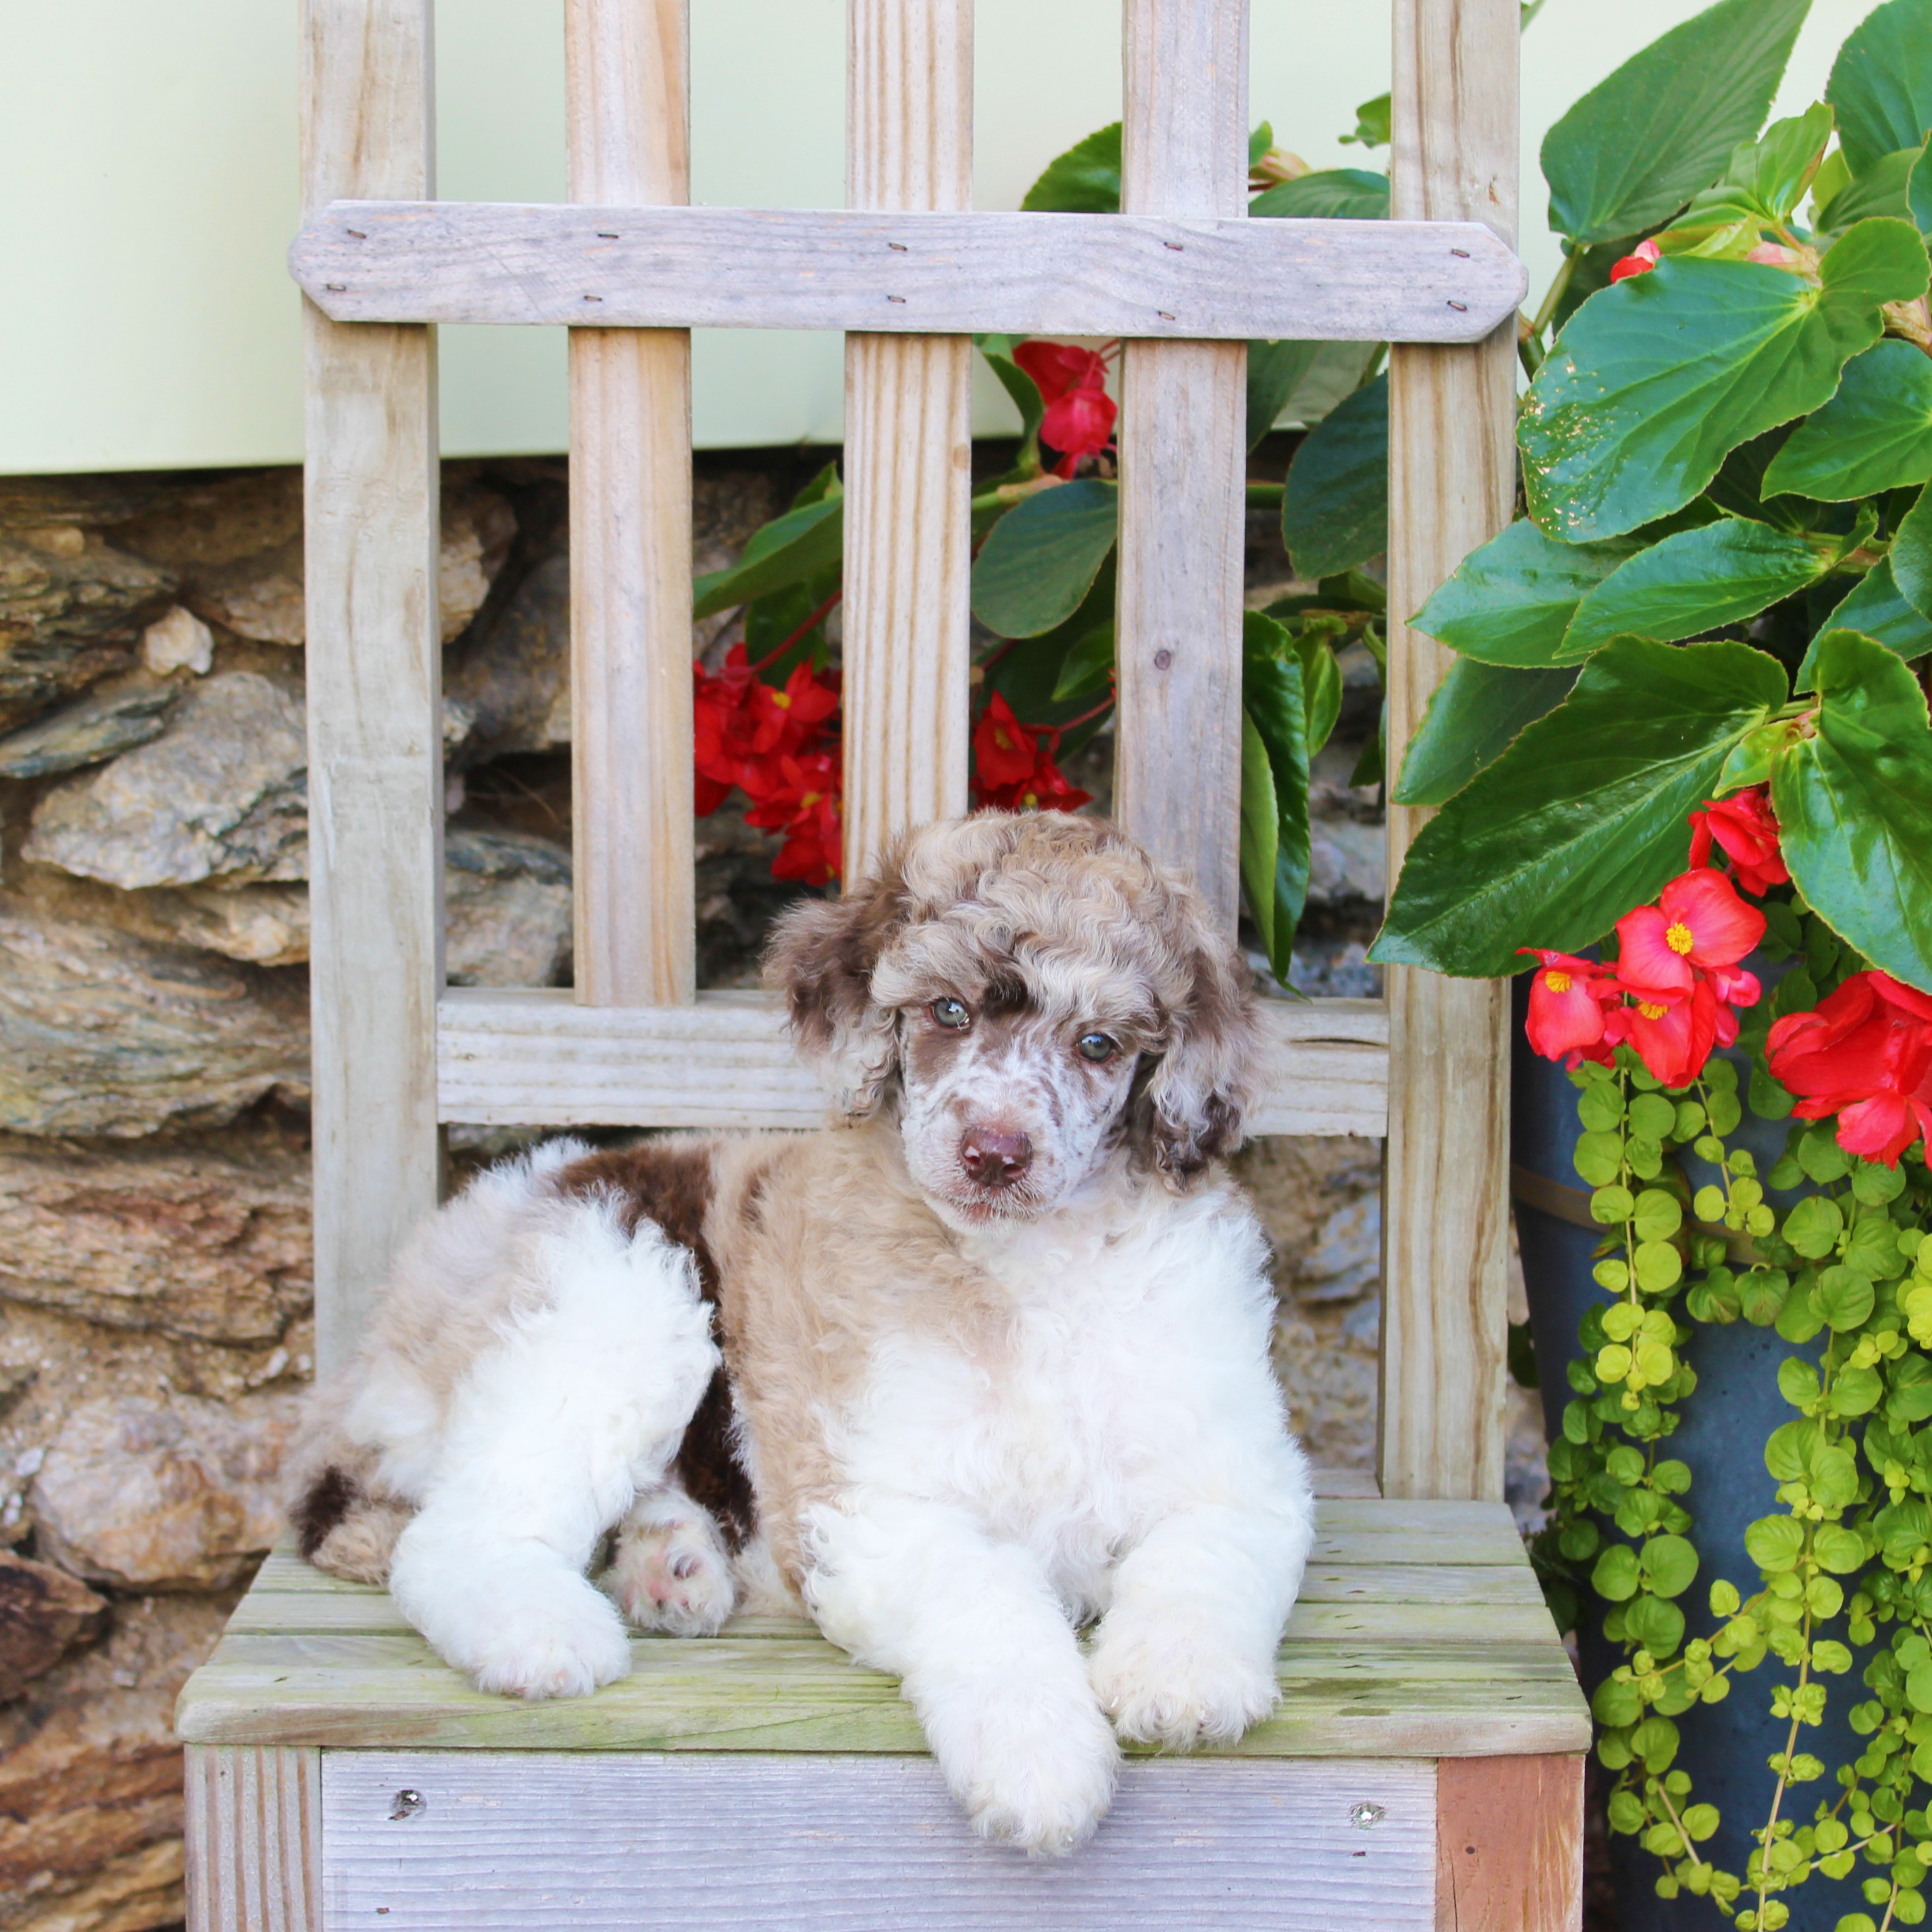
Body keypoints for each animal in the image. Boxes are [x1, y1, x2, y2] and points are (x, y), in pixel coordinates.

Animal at [286, 807, 1313, 1846]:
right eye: (947, 1012)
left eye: (1099, 1043)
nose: (993, 1153)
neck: (1031, 1272)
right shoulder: (876, 1507)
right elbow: (986, 1601)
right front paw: (1040, 1763)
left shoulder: (1237, 1469)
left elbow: (1204, 1555)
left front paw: (1179, 1681)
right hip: (616, 1303)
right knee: (453, 1534)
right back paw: (546, 1631)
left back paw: (672, 1564)